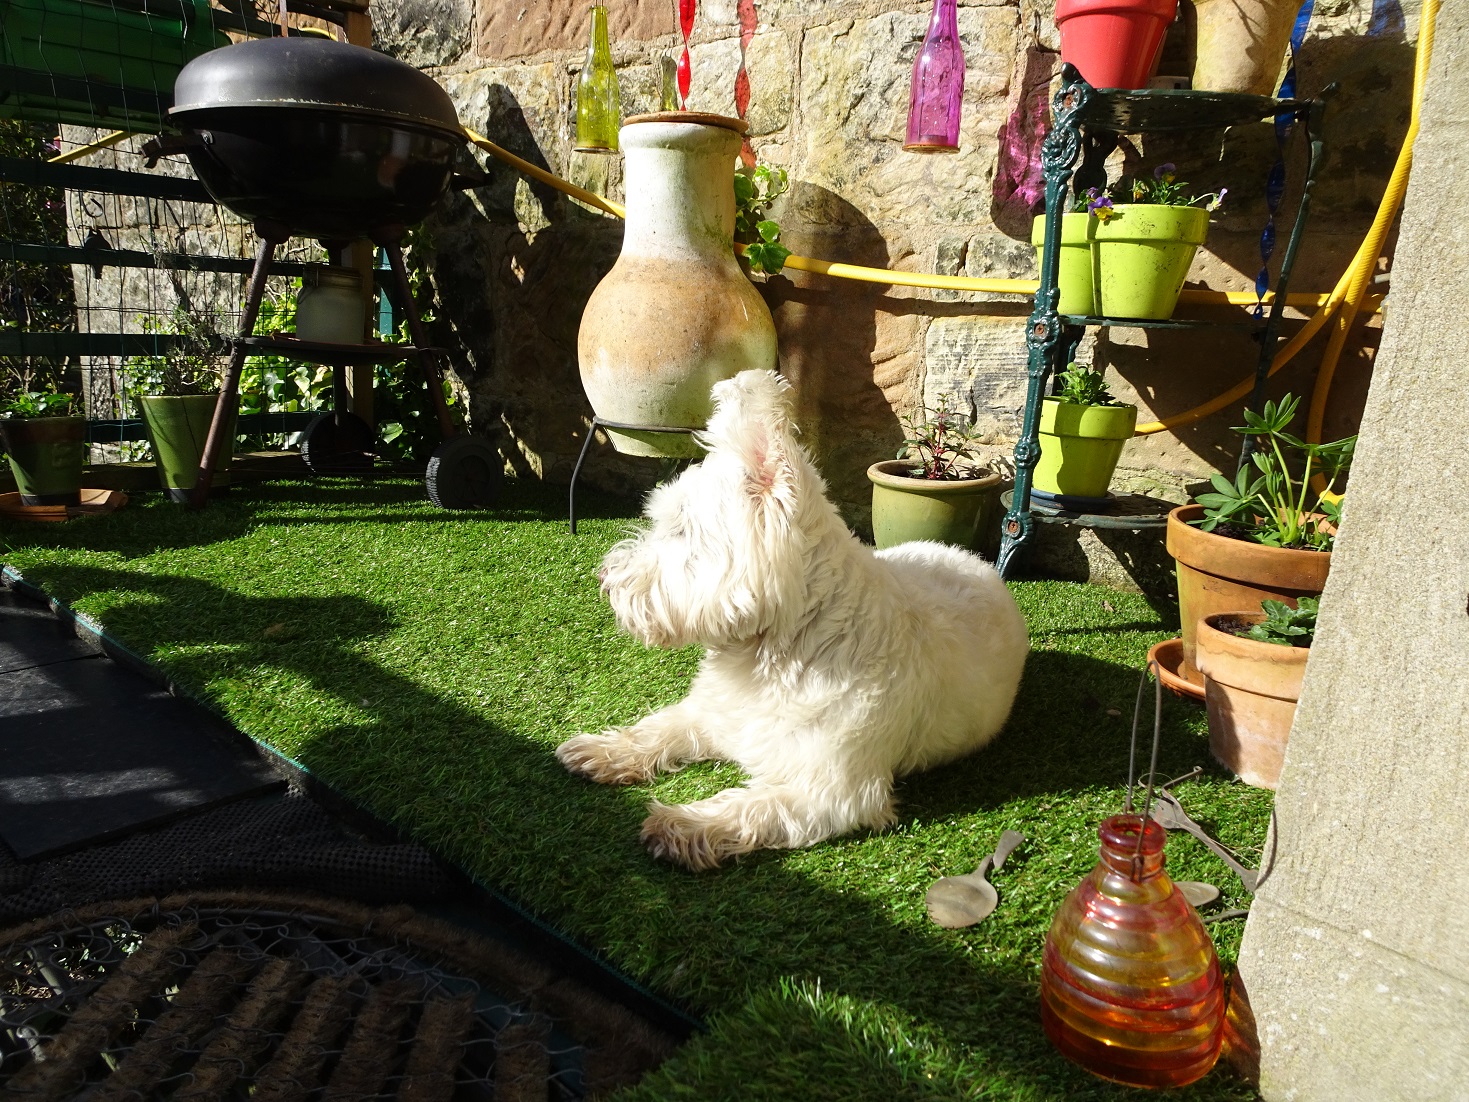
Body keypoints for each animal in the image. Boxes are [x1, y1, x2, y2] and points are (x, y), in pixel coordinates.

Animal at [555, 371, 1028, 869]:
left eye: (682, 531)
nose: (605, 579)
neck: (780, 646)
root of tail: (977, 562)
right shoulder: (714, 712)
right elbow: (658, 727)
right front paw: (602, 749)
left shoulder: (833, 790)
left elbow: (751, 805)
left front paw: (681, 823)